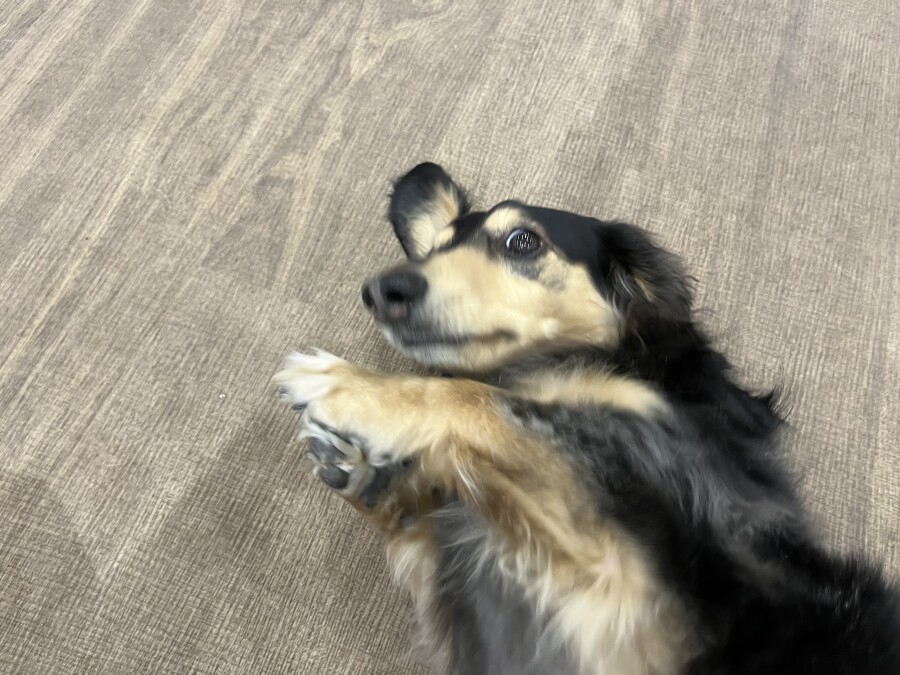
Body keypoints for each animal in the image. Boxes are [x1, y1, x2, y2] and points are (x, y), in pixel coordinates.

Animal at [275, 163, 900, 674]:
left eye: (522, 240)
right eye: (432, 253)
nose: (383, 290)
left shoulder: (618, 556)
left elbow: (480, 402)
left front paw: (350, 386)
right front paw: (365, 471)